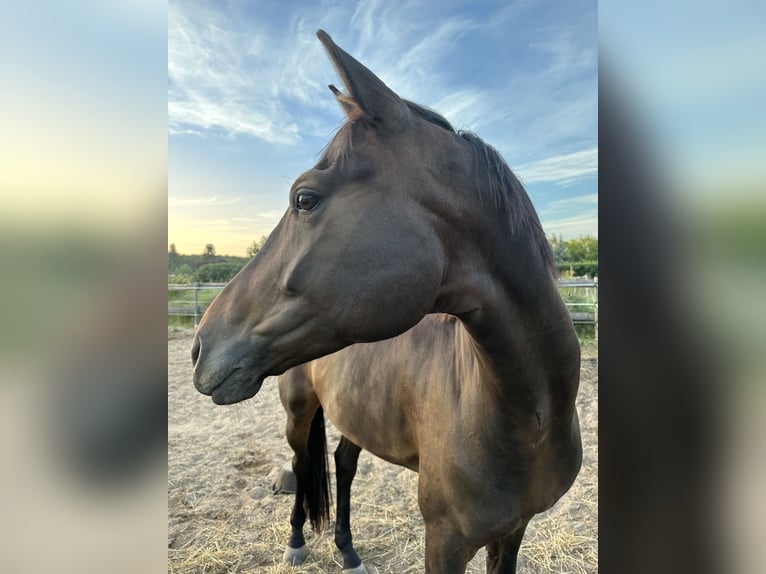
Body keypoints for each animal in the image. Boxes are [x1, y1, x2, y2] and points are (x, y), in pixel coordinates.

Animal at [192, 29, 584, 572]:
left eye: (305, 199)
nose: (199, 346)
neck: (529, 415)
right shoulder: (445, 542)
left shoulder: (514, 531)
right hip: (298, 412)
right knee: (302, 464)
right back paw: (296, 542)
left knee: (342, 464)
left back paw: (348, 549)